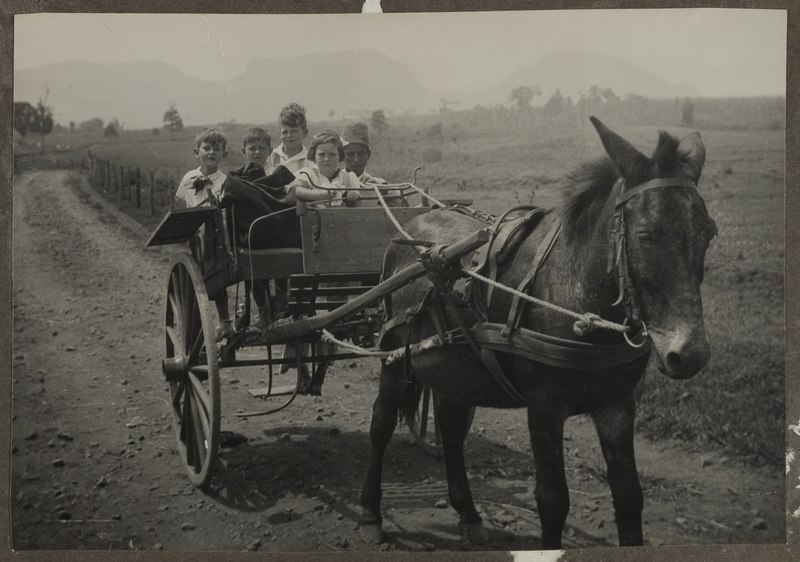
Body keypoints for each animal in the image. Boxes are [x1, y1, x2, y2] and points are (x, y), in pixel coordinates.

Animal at [358, 116, 720, 548]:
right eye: (646, 235)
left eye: (709, 233)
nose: (690, 354)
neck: (576, 296)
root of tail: (413, 225)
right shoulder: (544, 408)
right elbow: (553, 500)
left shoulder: (617, 405)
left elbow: (629, 497)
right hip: (395, 358)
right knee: (380, 424)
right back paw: (371, 512)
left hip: (456, 368)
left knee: (451, 427)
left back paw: (468, 512)